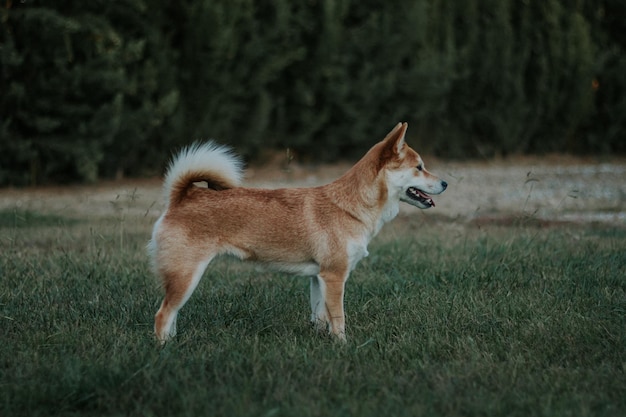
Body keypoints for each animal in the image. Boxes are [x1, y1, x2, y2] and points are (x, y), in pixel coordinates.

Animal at [149, 122, 446, 342]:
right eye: (419, 167)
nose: (444, 183)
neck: (350, 206)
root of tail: (182, 197)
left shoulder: (318, 278)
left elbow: (320, 317)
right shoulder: (335, 276)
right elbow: (339, 319)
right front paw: (343, 346)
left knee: (171, 315)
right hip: (186, 275)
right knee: (162, 315)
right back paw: (165, 349)